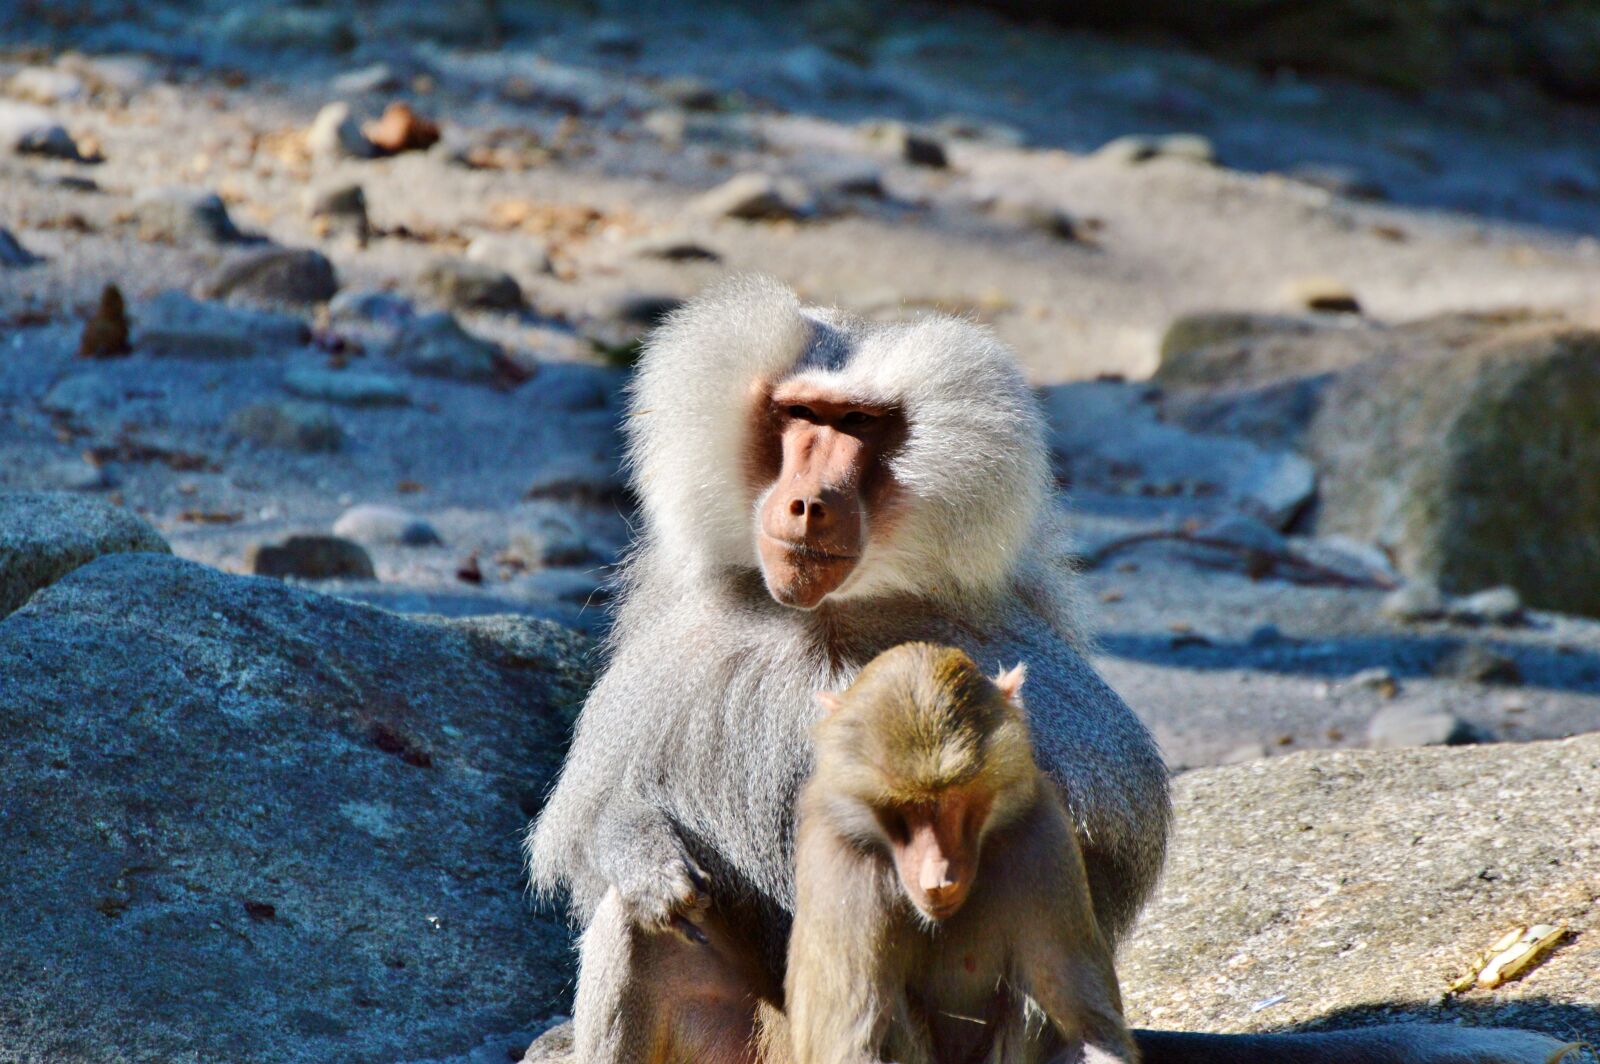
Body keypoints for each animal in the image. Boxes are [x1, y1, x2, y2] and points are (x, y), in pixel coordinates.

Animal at [786, 642, 1137, 1064]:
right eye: (910, 809)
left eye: (954, 801)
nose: (939, 881)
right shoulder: (842, 868)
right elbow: (849, 1047)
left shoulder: (1043, 842)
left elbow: (1089, 1031)